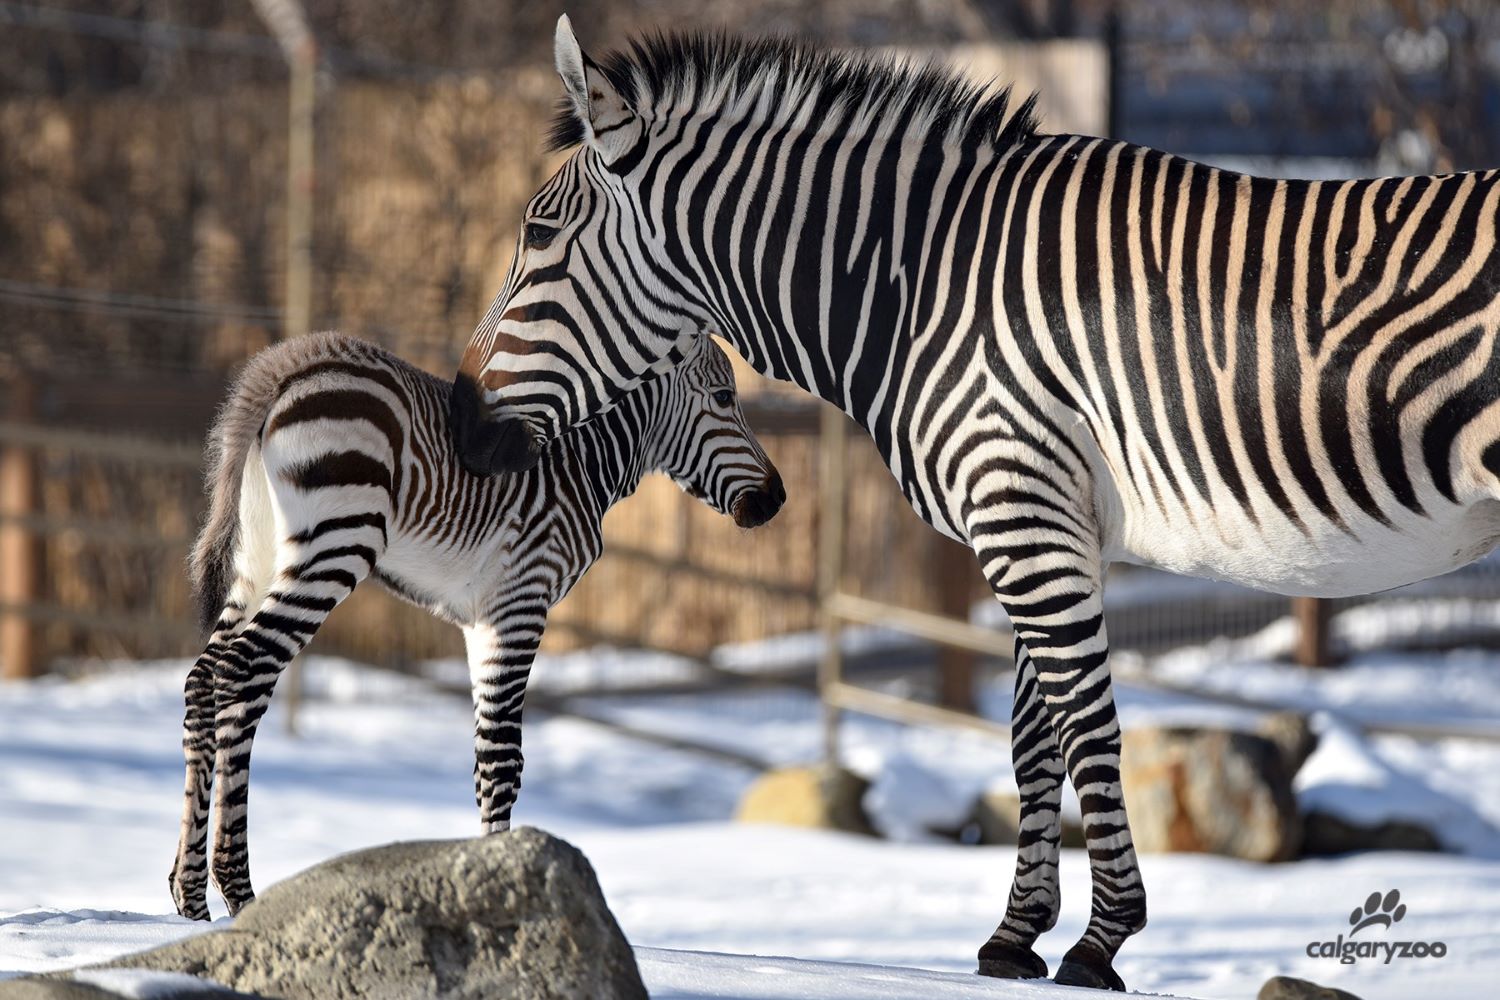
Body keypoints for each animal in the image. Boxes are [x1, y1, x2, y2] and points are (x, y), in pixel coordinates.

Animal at [169, 331, 784, 920]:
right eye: (724, 398)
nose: (777, 499)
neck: (582, 460)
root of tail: (289, 365)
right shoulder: (522, 600)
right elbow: (503, 757)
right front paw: (509, 891)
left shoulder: (481, 621)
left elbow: (485, 761)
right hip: (335, 543)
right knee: (241, 672)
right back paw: (238, 890)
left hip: (259, 557)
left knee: (209, 682)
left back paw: (193, 896)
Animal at [448, 19, 1500, 991]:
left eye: (537, 237)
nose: (459, 423)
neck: (919, 289)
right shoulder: (1050, 518)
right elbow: (1035, 735)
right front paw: (1015, 939)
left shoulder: (1018, 502)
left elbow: (1086, 727)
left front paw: (1100, 943)